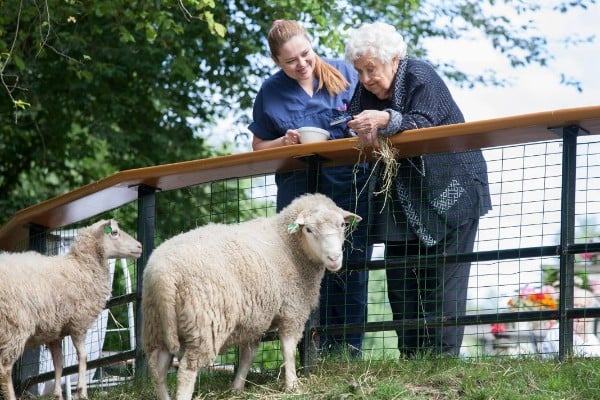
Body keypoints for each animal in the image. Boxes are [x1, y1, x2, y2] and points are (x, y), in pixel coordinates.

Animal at [0, 219, 142, 400]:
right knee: (5, 369)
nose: (140, 246)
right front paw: (82, 391)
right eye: (114, 233)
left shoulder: (54, 332)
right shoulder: (78, 323)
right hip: (15, 326)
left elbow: (59, 364)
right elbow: (83, 356)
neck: (82, 266)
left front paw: (57, 394)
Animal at [142, 192, 360, 398]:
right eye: (308, 229)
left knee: (157, 369)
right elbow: (288, 349)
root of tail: (163, 276)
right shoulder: (293, 310)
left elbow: (248, 354)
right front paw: (292, 385)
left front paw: (237, 387)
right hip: (204, 323)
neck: (289, 245)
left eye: (342, 224)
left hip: (157, 325)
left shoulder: (255, 318)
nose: (334, 258)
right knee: (187, 370)